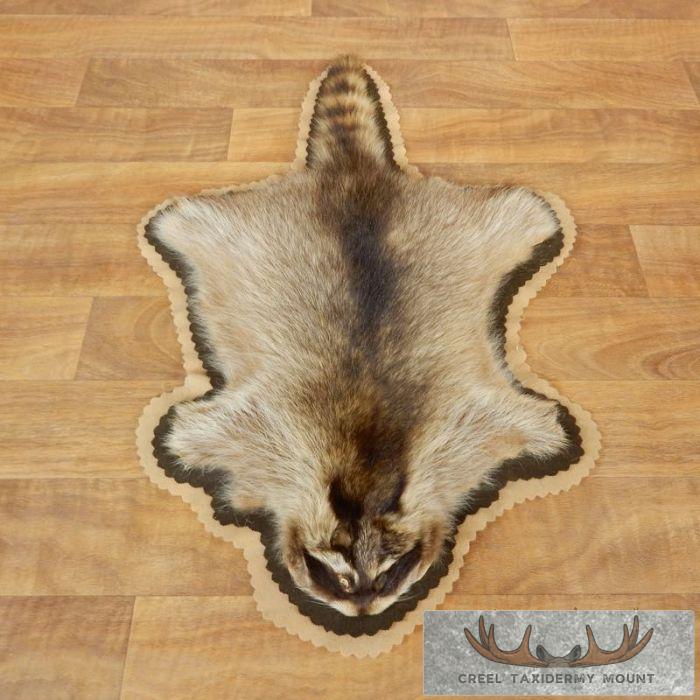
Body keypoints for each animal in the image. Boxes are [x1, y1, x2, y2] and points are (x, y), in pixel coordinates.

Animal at [152, 56, 568, 616]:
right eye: (333, 573)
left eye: (392, 570)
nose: (364, 610)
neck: (364, 475)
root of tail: (354, 172)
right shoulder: (257, 431)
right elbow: (189, 434)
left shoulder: (470, 428)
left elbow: (536, 425)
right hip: (239, 231)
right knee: (193, 221)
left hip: (476, 229)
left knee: (524, 212)